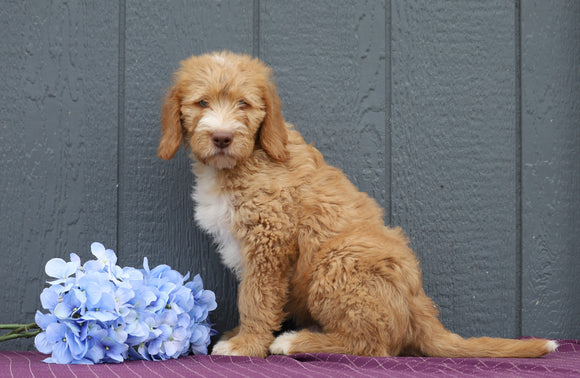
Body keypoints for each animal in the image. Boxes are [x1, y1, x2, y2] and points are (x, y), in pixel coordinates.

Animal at [159, 51, 556, 358]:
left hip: (338, 261)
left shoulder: (269, 241)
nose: (222, 137)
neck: (246, 161)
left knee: (372, 345)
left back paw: (295, 342)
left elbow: (256, 297)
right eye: (202, 103)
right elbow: (253, 295)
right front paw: (241, 336)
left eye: (244, 104)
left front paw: (246, 345)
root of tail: (421, 309)